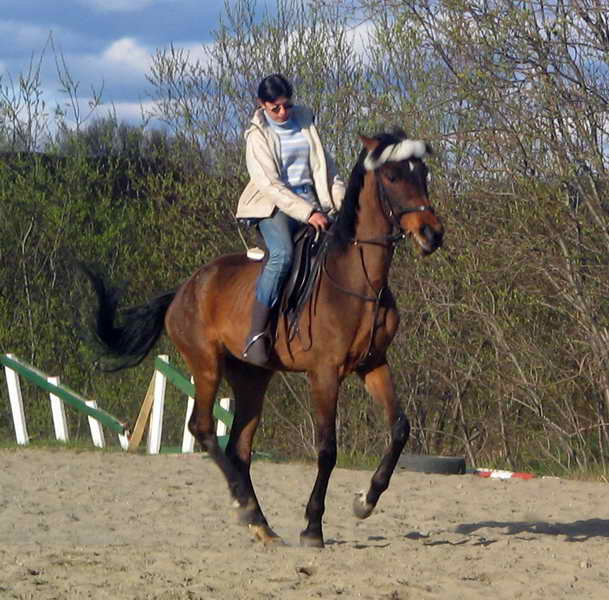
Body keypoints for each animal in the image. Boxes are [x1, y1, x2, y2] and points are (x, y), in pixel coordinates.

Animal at [84, 129, 442, 548]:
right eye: (392, 177)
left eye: (423, 173)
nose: (432, 234)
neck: (357, 279)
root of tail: (185, 289)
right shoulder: (324, 374)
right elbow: (327, 449)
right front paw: (312, 527)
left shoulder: (373, 364)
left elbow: (399, 428)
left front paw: (365, 501)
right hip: (206, 365)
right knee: (203, 429)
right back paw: (247, 508)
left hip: (252, 376)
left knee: (239, 445)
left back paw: (261, 524)